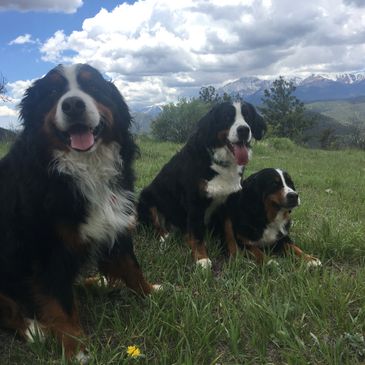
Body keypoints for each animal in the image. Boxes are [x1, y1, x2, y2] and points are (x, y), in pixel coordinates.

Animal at [0, 63, 155, 362]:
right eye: (53, 92)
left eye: (92, 86)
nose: (72, 104)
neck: (84, 168)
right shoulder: (47, 249)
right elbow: (60, 304)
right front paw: (77, 348)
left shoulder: (115, 221)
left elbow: (131, 266)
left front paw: (150, 293)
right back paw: (32, 329)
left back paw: (99, 282)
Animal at [136, 99, 264, 268]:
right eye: (227, 117)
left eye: (248, 116)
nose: (244, 130)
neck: (220, 163)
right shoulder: (195, 200)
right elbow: (196, 233)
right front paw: (202, 259)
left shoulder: (230, 201)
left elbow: (229, 231)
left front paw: (236, 256)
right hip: (147, 197)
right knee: (156, 225)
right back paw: (165, 237)